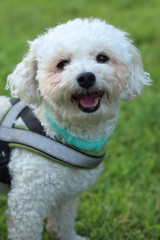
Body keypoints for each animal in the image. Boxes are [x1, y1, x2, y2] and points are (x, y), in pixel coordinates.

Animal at [0, 17, 151, 239]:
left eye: (102, 58)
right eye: (62, 64)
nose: (86, 77)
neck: (54, 132)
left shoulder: (67, 194)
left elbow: (63, 222)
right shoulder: (27, 203)